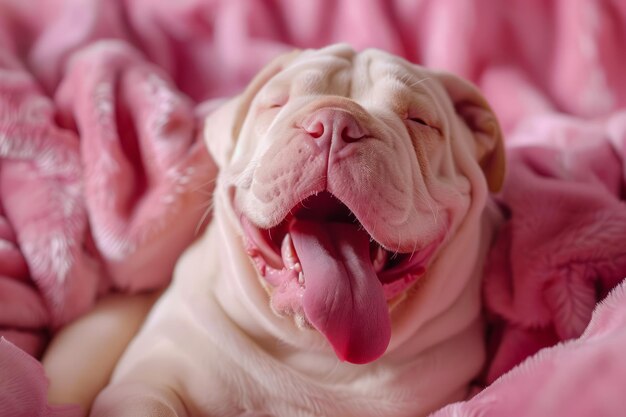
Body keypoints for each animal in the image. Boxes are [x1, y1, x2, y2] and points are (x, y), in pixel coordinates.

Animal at [90, 44, 504, 414]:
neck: (315, 354)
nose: (337, 122)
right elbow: (146, 397)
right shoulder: (150, 372)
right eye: (275, 104)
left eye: (420, 121)